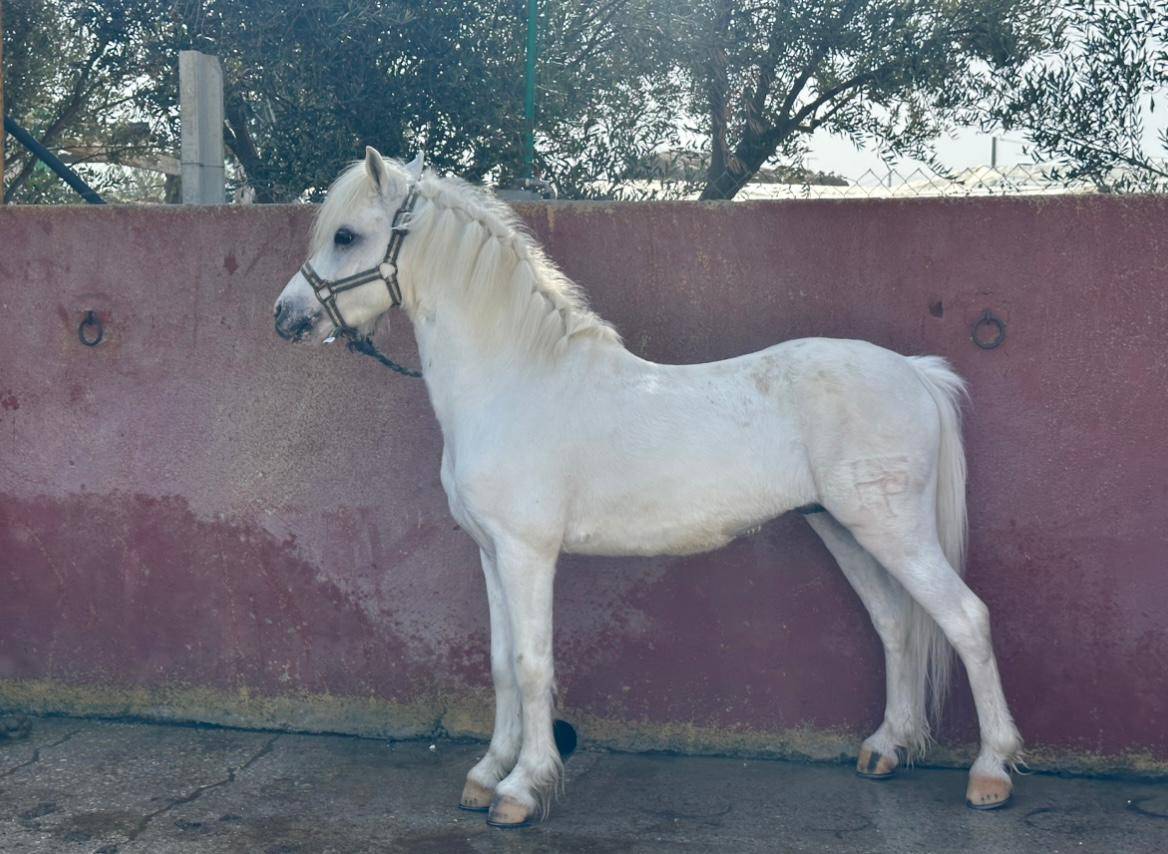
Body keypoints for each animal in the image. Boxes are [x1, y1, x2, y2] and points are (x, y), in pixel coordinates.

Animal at [274, 147, 1023, 827]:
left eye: (346, 236)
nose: (285, 317)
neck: (517, 381)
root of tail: (915, 370)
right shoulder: (490, 553)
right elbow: (500, 664)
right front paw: (487, 774)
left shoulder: (526, 553)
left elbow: (532, 663)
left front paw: (523, 788)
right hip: (844, 528)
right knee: (895, 624)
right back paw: (886, 749)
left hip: (893, 531)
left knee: (965, 618)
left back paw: (991, 773)